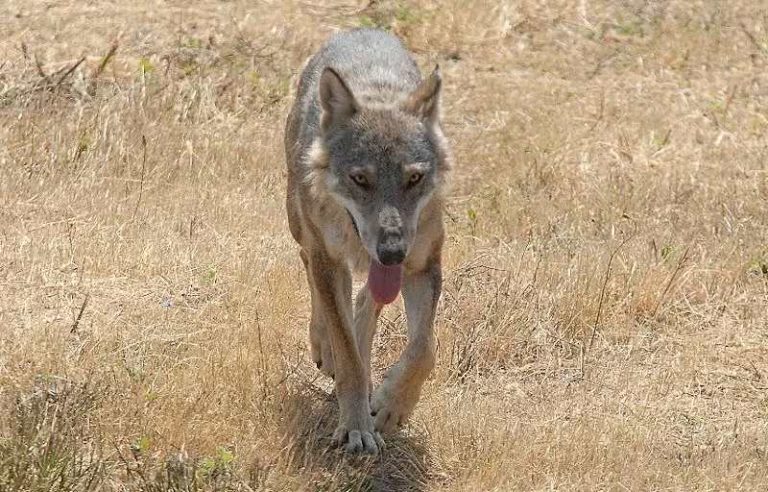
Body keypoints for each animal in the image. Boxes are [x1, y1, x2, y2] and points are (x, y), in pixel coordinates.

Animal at [284, 28, 450, 456]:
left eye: (414, 178)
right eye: (360, 179)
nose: (391, 251)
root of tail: (361, 29)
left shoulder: (423, 264)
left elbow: (424, 349)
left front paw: (392, 407)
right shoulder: (328, 258)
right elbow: (349, 360)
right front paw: (356, 428)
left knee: (365, 303)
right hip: (301, 228)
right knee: (311, 272)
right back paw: (323, 345)